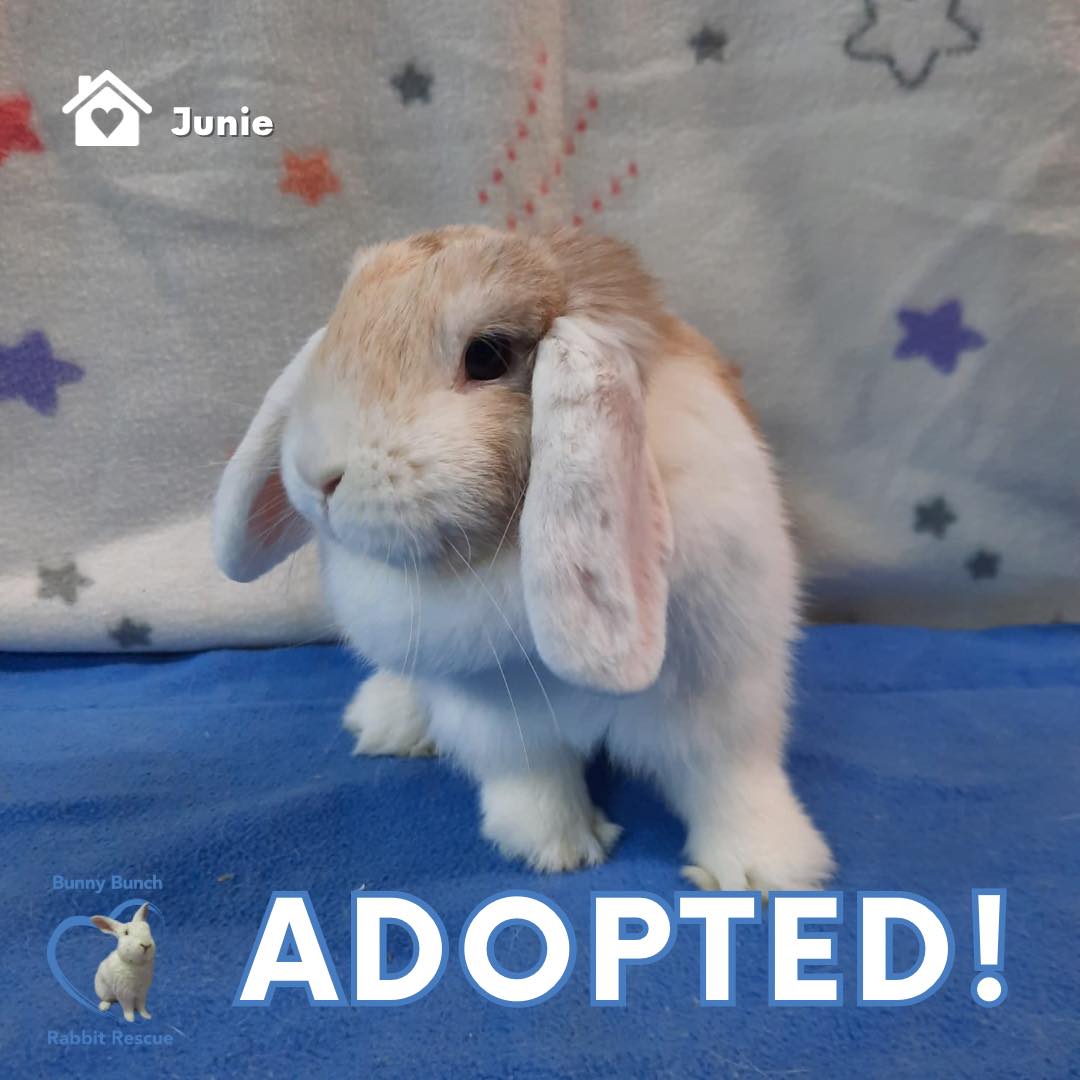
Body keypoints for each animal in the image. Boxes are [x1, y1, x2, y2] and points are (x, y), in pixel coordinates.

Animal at [213, 226, 834, 893]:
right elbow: (532, 781)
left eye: (486, 356)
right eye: (340, 328)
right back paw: (386, 721)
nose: (316, 475)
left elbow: (730, 782)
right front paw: (558, 850)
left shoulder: (722, 695)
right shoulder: (496, 720)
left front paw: (766, 871)